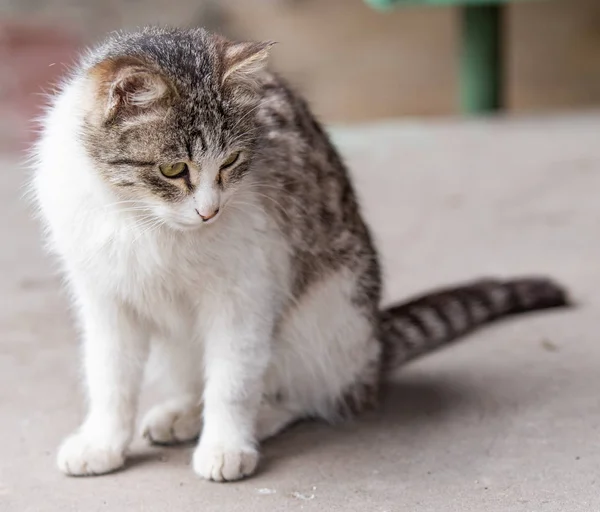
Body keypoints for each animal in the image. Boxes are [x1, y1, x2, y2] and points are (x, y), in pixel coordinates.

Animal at [30, 27, 568, 484]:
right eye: (172, 169)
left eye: (230, 161)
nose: (209, 211)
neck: (146, 223)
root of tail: (374, 348)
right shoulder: (105, 299)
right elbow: (110, 377)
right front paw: (102, 441)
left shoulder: (246, 289)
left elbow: (232, 380)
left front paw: (226, 444)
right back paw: (182, 412)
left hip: (325, 313)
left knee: (314, 393)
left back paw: (256, 417)